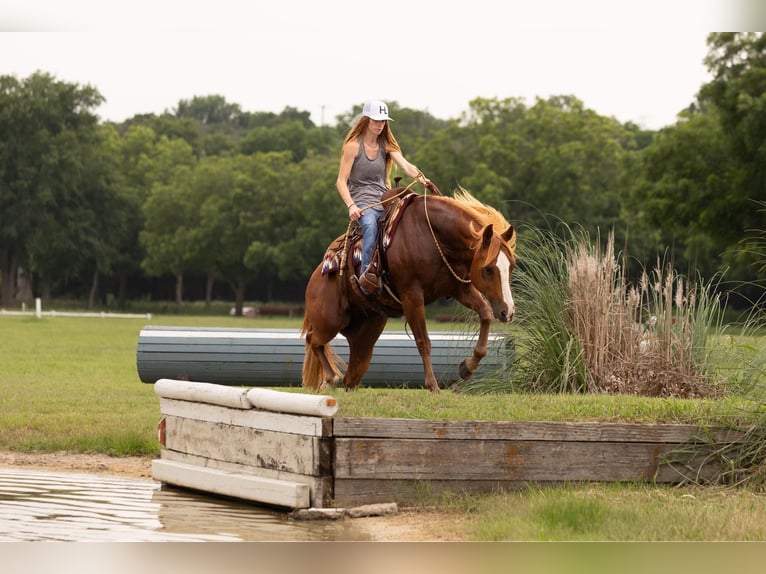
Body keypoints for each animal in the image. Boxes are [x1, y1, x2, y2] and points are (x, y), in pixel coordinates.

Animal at [301, 185, 516, 393]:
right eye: (488, 269)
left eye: (511, 266)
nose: (508, 311)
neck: (432, 236)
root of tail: (318, 274)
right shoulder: (412, 296)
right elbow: (423, 341)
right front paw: (433, 386)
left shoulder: (460, 289)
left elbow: (485, 314)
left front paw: (467, 367)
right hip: (330, 321)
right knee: (313, 339)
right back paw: (330, 378)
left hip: (367, 331)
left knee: (353, 370)